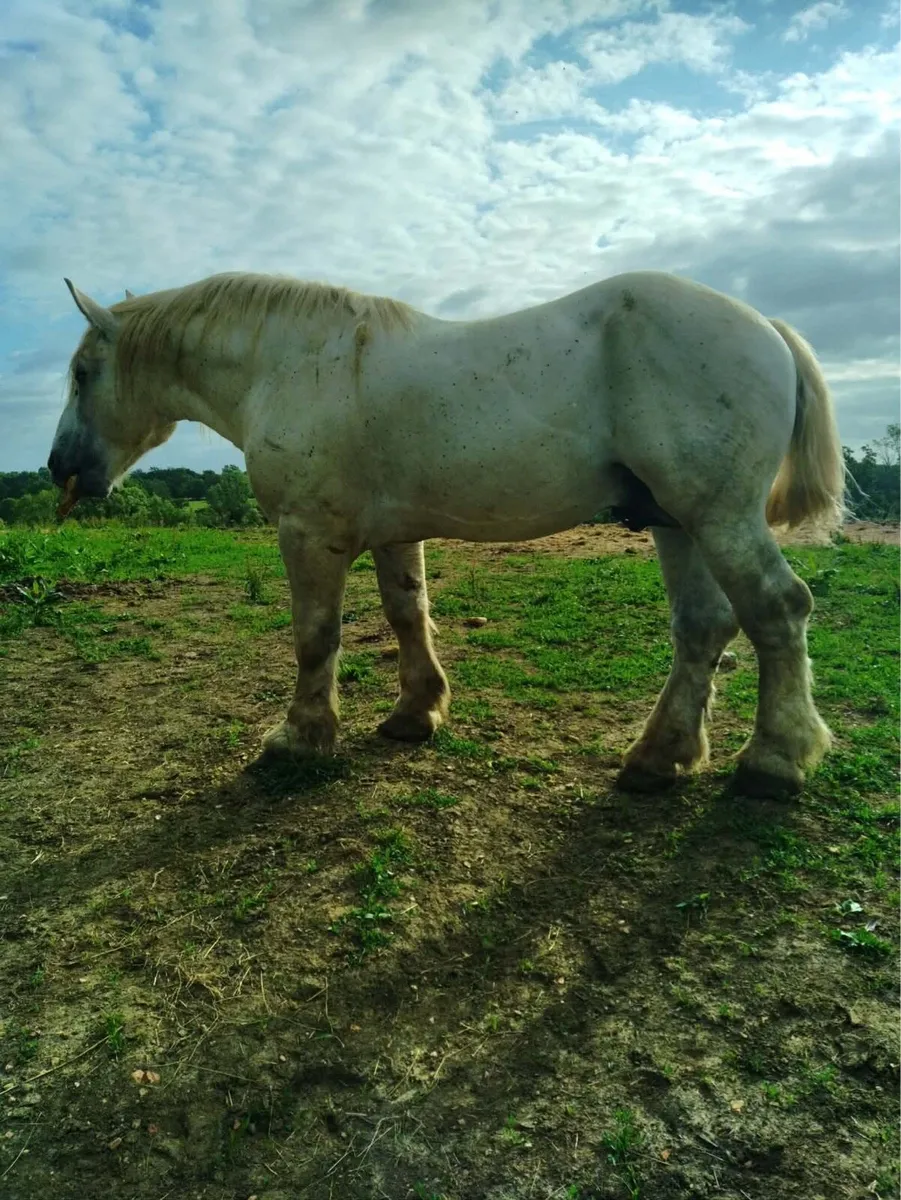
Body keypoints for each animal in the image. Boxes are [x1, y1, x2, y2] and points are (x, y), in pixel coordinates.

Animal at [48, 269, 845, 798]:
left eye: (84, 372)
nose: (59, 466)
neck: (294, 363)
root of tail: (764, 326)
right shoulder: (393, 533)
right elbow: (408, 614)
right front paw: (415, 711)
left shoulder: (309, 532)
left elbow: (315, 637)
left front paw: (299, 739)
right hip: (677, 522)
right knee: (704, 626)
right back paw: (660, 757)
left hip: (718, 516)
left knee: (777, 610)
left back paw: (773, 760)